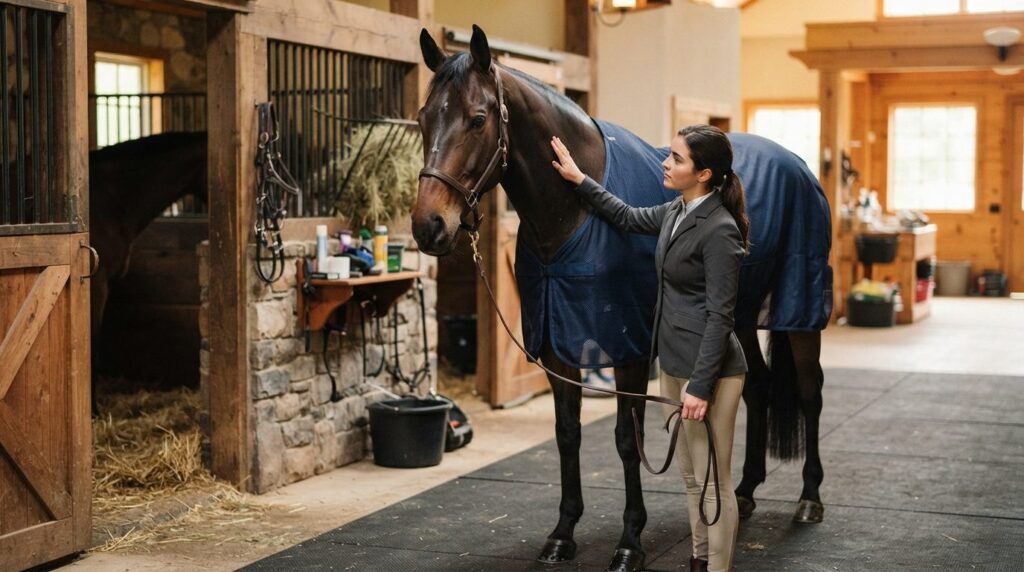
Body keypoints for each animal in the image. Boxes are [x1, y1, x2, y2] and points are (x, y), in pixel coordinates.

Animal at [412, 26, 831, 571]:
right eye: (423, 118)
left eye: (478, 119)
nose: (428, 226)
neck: (572, 215)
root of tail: (797, 163)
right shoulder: (557, 345)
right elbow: (567, 433)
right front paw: (562, 533)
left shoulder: (629, 346)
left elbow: (627, 442)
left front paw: (630, 542)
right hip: (735, 317)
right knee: (756, 387)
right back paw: (743, 492)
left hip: (799, 313)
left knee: (810, 392)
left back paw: (809, 499)